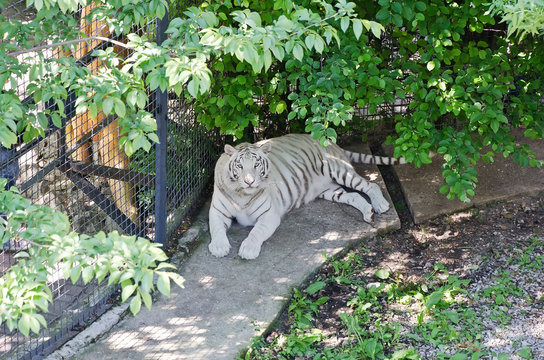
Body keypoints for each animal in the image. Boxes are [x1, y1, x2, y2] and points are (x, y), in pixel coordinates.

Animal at [208, 134, 404, 260]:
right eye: (240, 166)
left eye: (256, 164)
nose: (249, 181)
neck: (242, 194)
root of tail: (331, 141)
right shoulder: (216, 211)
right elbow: (216, 228)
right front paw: (219, 247)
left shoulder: (269, 215)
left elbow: (256, 232)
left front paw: (248, 249)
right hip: (330, 191)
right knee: (355, 196)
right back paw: (368, 213)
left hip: (339, 170)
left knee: (371, 185)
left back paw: (380, 205)